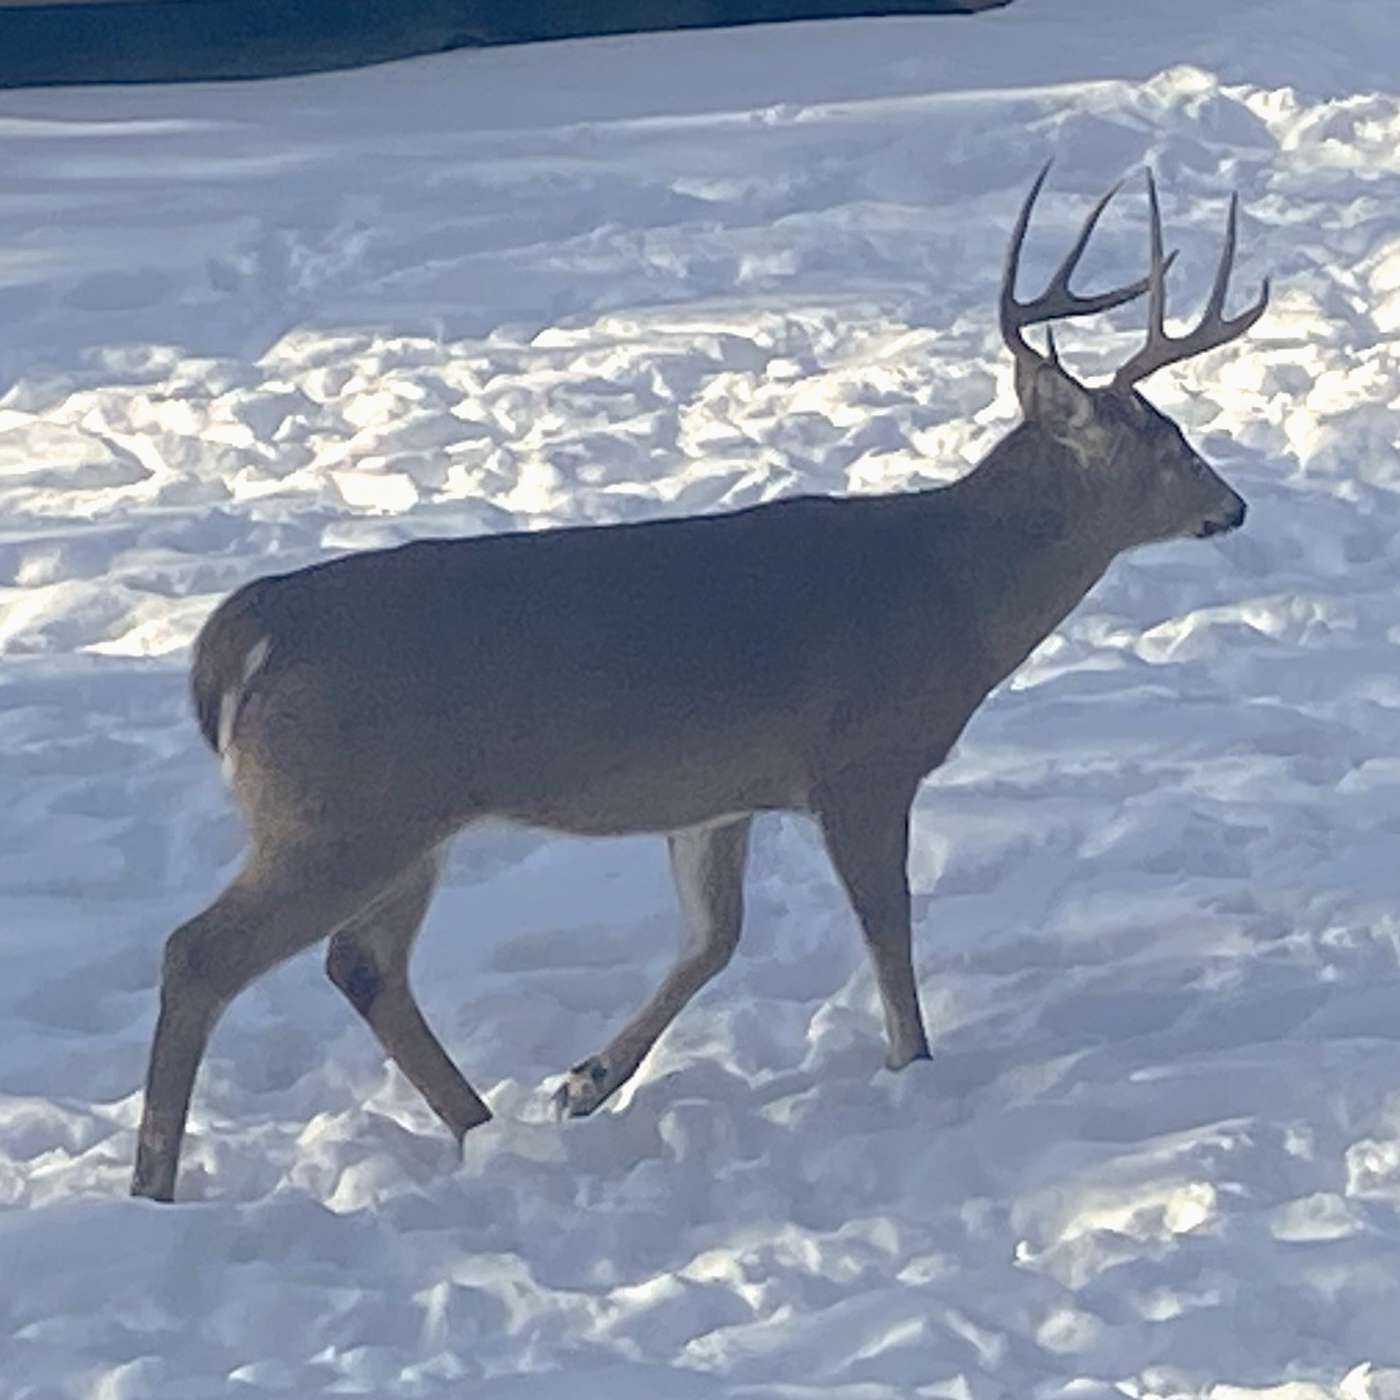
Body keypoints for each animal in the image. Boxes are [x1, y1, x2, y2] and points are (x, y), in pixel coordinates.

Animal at [131, 166, 1269, 1201]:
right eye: (1171, 446)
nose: (1235, 506)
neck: (951, 594)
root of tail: (245, 631)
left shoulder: (720, 794)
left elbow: (712, 938)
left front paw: (586, 1080)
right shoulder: (861, 760)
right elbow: (886, 927)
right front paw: (911, 1065)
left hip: (401, 821)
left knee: (363, 965)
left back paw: (488, 1129)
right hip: (343, 810)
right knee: (200, 951)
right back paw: (155, 1188)